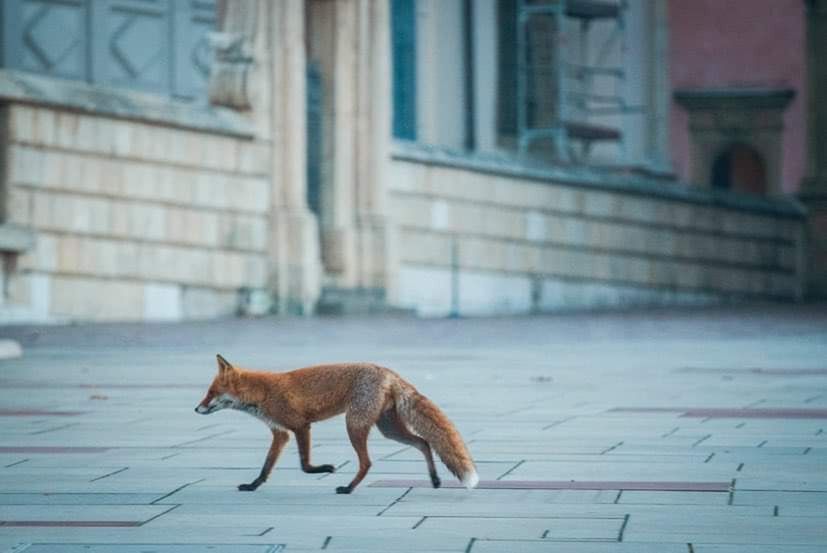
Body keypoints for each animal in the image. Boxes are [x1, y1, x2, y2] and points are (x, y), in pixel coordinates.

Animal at [195, 356, 478, 494]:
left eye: (210, 393)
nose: (196, 409)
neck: (262, 393)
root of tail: (387, 371)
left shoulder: (300, 426)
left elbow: (305, 465)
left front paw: (325, 468)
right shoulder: (281, 433)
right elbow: (266, 467)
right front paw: (253, 486)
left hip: (353, 425)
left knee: (367, 463)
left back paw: (349, 488)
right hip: (388, 429)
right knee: (424, 442)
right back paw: (434, 479)